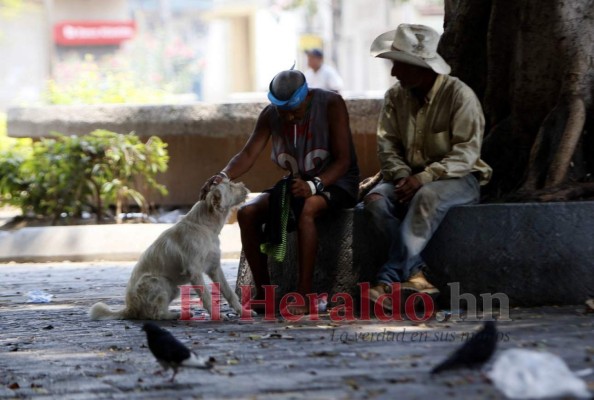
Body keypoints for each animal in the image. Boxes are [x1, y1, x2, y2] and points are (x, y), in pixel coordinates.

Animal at [89, 180, 250, 320]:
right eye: (230, 186)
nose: (245, 185)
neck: (203, 226)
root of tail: (130, 308)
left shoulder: (214, 268)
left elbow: (229, 293)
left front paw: (243, 312)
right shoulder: (195, 272)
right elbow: (207, 297)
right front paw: (217, 316)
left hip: (174, 288)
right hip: (159, 282)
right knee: (155, 314)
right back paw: (176, 315)